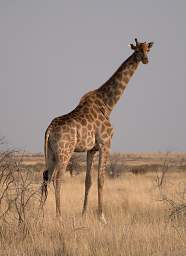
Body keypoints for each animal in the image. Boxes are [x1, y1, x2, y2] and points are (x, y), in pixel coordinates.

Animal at [41, 38, 153, 224]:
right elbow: (101, 179)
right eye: (137, 50)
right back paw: (59, 217)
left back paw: (39, 214)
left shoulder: (91, 149)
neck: (108, 104)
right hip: (65, 151)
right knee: (57, 178)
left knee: (46, 177)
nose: (145, 59)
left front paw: (84, 214)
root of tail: (49, 129)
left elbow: (88, 180)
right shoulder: (105, 143)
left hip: (50, 153)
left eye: (147, 50)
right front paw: (102, 217)